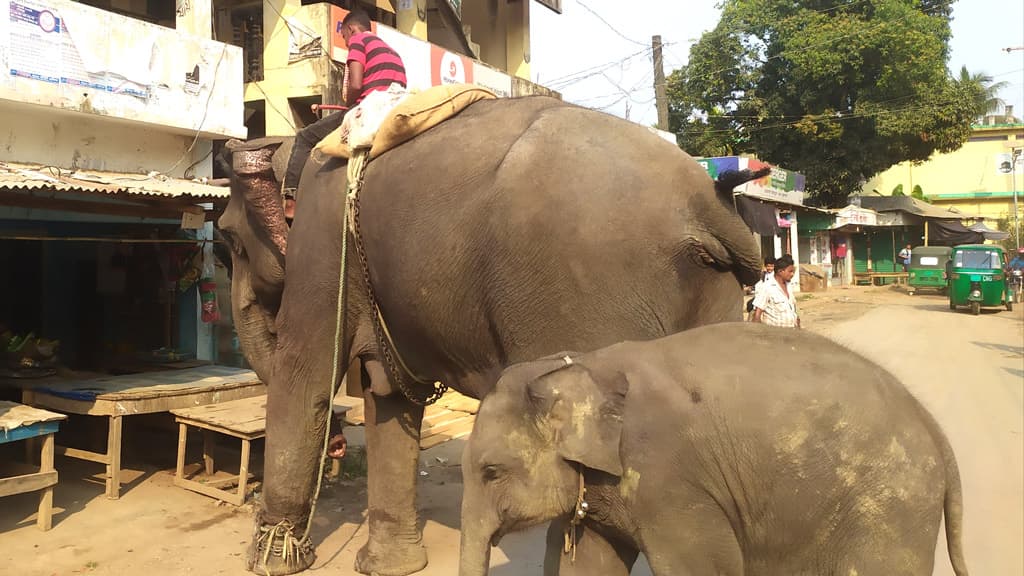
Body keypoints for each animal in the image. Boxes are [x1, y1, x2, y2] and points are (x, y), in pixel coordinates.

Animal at [220, 95, 770, 573]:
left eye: (230, 241)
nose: (337, 443)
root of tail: (708, 203)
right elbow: (391, 396)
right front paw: (387, 568)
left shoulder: (322, 241)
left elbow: (305, 378)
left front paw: (269, 563)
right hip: (716, 295)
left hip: (592, 290)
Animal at [458, 323, 966, 573]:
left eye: (491, 472)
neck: (579, 363)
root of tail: (933, 426)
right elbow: (588, 565)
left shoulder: (667, 483)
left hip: (890, 507)